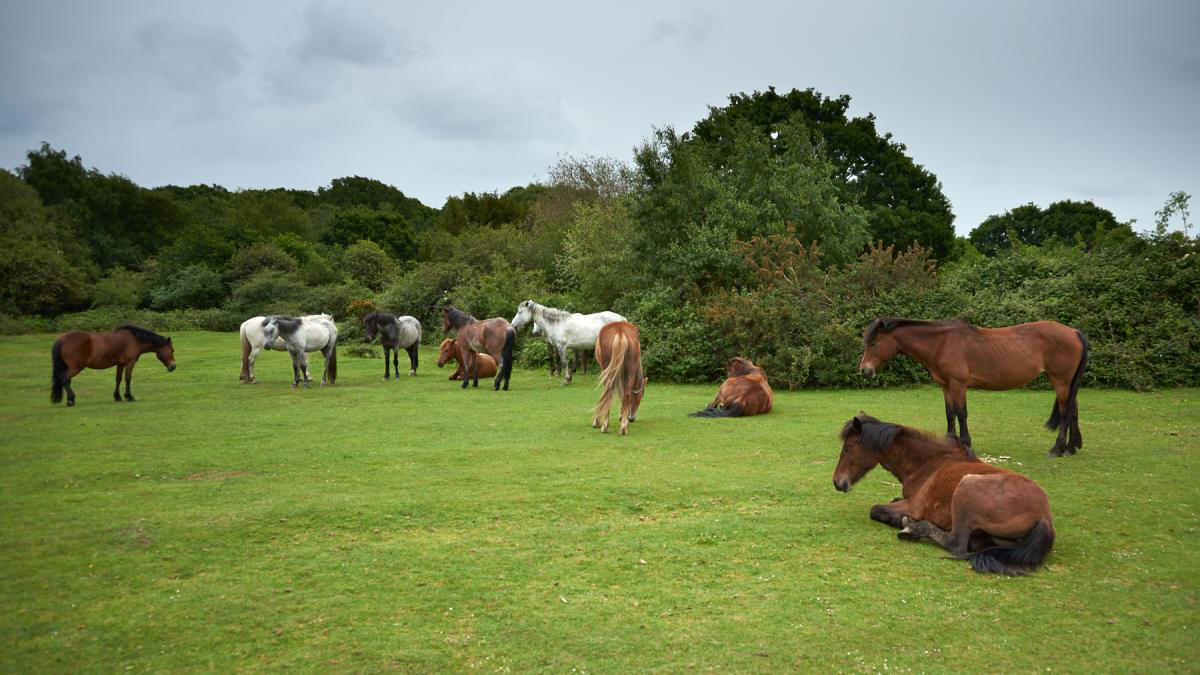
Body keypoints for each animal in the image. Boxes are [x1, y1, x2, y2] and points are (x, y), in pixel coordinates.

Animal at [833, 413, 1056, 576]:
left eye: (848, 448)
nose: (837, 482)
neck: (929, 464)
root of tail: (1044, 516)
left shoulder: (912, 506)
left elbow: (875, 509)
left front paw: (898, 519)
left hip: (967, 488)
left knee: (956, 544)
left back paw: (914, 528)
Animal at [858, 317, 1089, 458]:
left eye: (874, 344)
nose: (864, 370)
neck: (941, 343)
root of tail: (1074, 332)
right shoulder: (946, 386)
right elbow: (950, 413)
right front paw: (950, 441)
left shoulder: (958, 384)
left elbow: (961, 413)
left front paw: (966, 444)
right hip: (1066, 382)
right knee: (1073, 408)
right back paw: (1072, 447)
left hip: (1061, 381)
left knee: (1065, 411)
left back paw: (1058, 448)